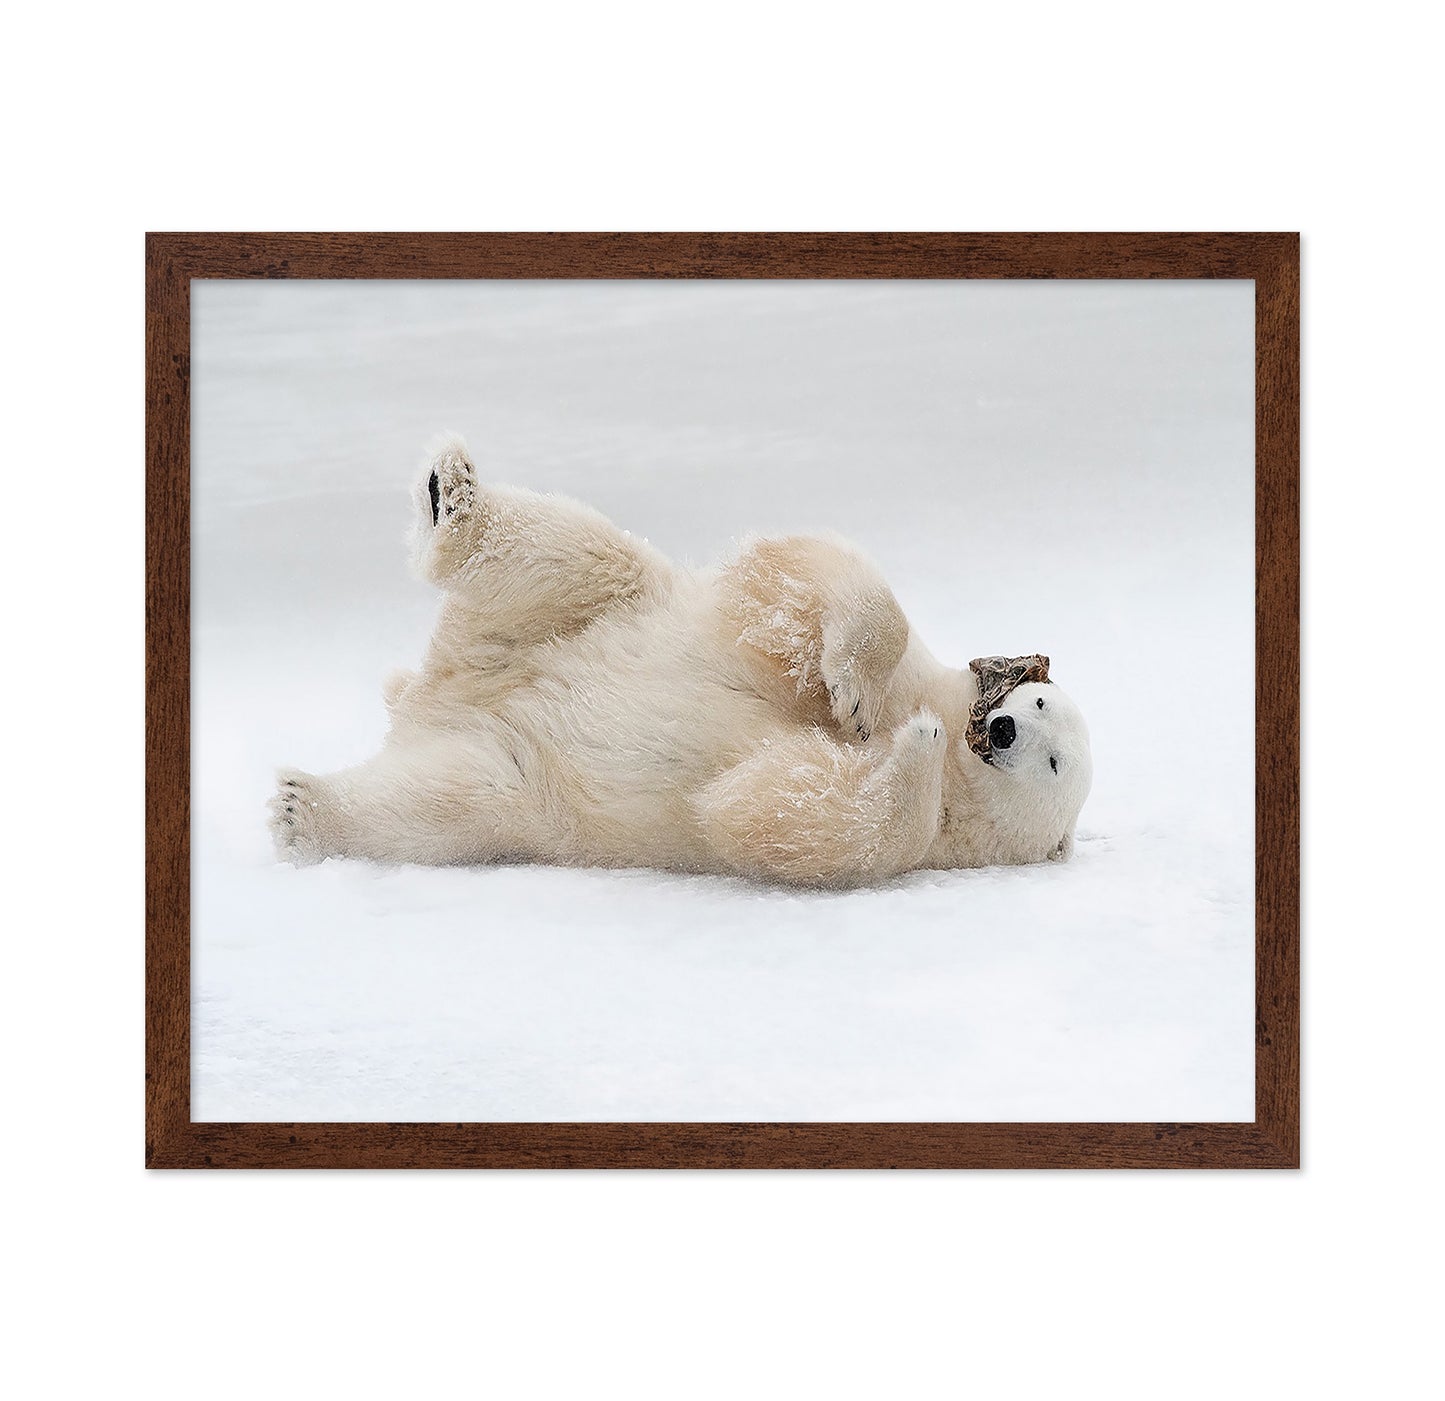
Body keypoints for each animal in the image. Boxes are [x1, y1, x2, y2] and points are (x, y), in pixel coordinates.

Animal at [269, 436, 1093, 887]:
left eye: (1054, 763)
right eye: (1039, 704)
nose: (1004, 731)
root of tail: (438, 691)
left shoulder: (930, 847)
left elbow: (799, 817)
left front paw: (910, 744)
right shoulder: (904, 662)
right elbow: (810, 582)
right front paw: (855, 697)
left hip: (521, 779)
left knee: (441, 803)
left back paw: (304, 809)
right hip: (587, 611)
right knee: (571, 548)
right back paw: (452, 492)